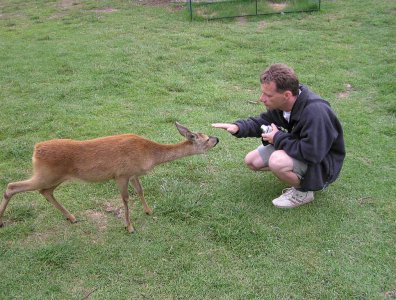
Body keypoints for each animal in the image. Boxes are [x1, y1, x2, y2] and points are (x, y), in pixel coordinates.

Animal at [0, 122, 218, 234]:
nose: (217, 139)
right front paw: (129, 226)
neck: (150, 154)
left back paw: (71, 217)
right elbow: (126, 199)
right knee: (12, 186)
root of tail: (36, 150)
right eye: (206, 138)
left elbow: (140, 190)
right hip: (46, 174)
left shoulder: (133, 173)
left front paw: (148, 211)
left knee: (45, 191)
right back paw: (2, 221)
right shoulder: (120, 174)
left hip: (55, 177)